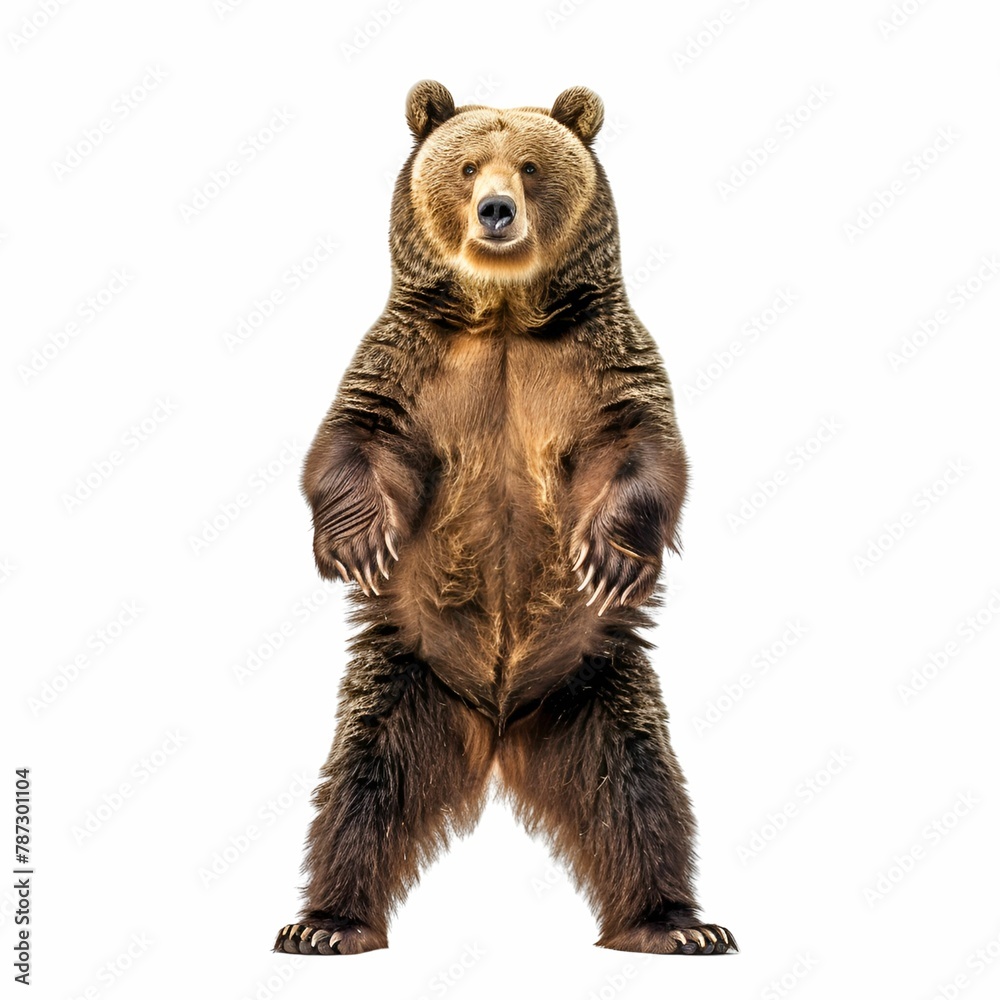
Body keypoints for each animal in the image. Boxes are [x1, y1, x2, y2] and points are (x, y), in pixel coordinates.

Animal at [273, 81, 737, 956]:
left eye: (528, 165)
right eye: (465, 166)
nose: (495, 210)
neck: (504, 313)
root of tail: (497, 727)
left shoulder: (600, 359)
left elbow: (644, 446)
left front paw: (608, 556)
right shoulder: (412, 360)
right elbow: (354, 436)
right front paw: (359, 544)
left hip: (598, 686)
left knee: (640, 790)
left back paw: (675, 924)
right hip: (405, 677)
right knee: (362, 788)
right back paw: (326, 923)